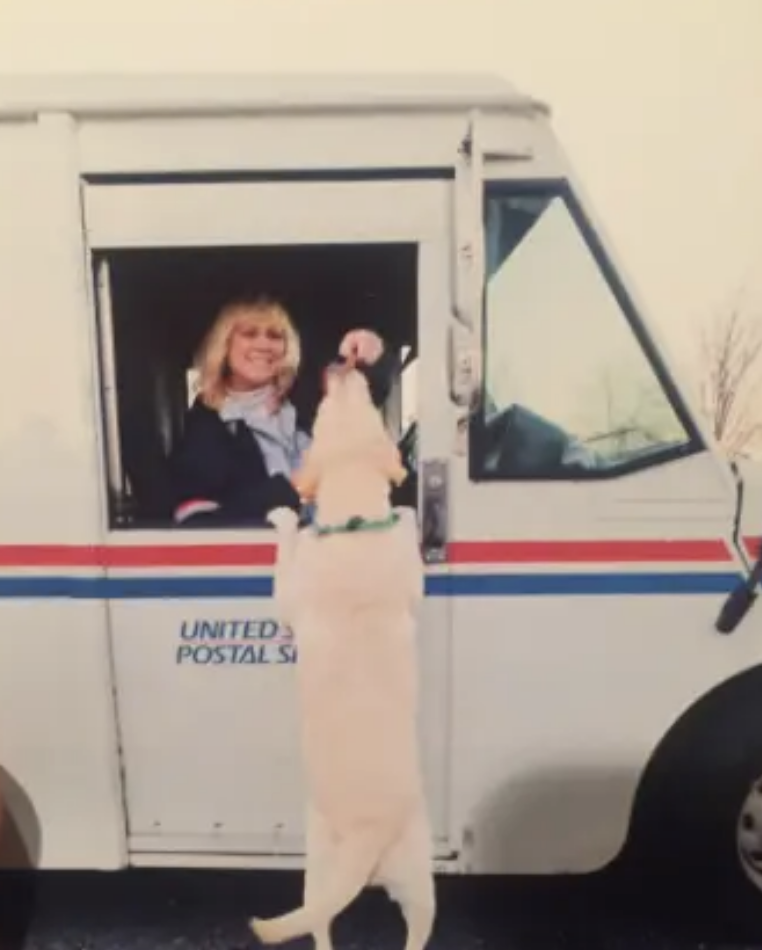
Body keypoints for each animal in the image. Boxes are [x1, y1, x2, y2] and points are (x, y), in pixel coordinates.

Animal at [249, 362, 434, 950]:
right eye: (368, 406)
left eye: (328, 410)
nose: (344, 363)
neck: (355, 518)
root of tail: (366, 840)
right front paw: (405, 510)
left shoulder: (289, 594)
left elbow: (288, 552)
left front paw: (285, 517)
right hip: (415, 880)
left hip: (321, 866)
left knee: (320, 927)